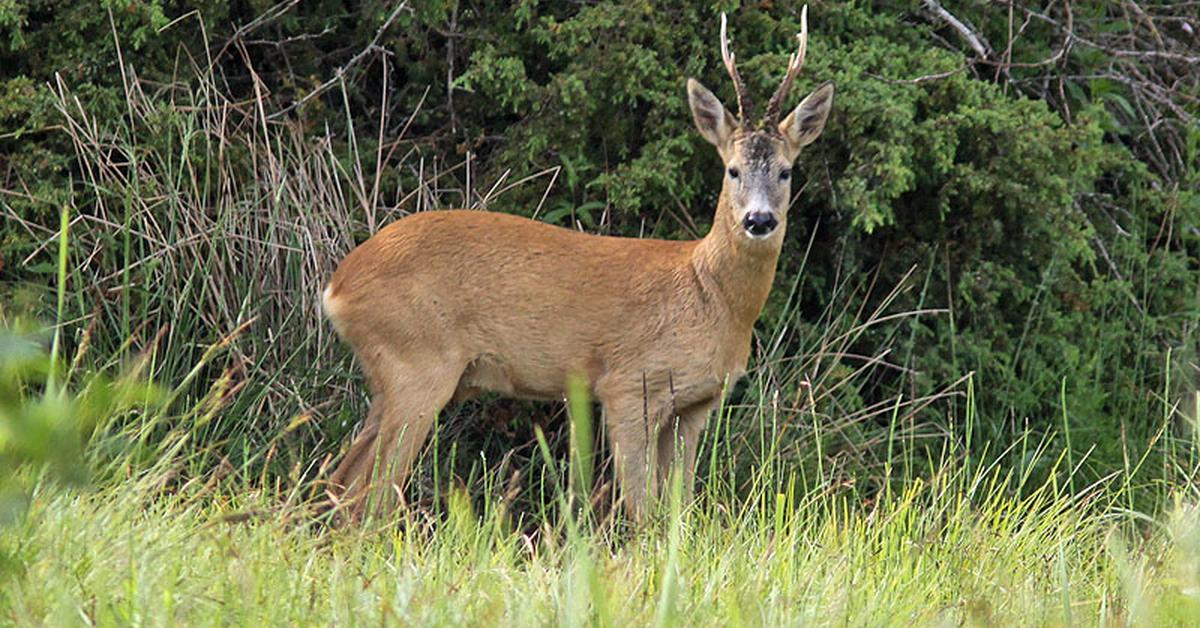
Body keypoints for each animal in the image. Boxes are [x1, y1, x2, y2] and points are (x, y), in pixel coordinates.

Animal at [324, 8, 840, 521]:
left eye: (785, 171)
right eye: (732, 170)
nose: (759, 220)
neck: (709, 293)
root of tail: (337, 286)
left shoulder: (695, 406)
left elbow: (678, 508)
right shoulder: (629, 384)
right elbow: (642, 509)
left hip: (391, 374)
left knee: (342, 478)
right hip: (416, 361)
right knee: (370, 489)